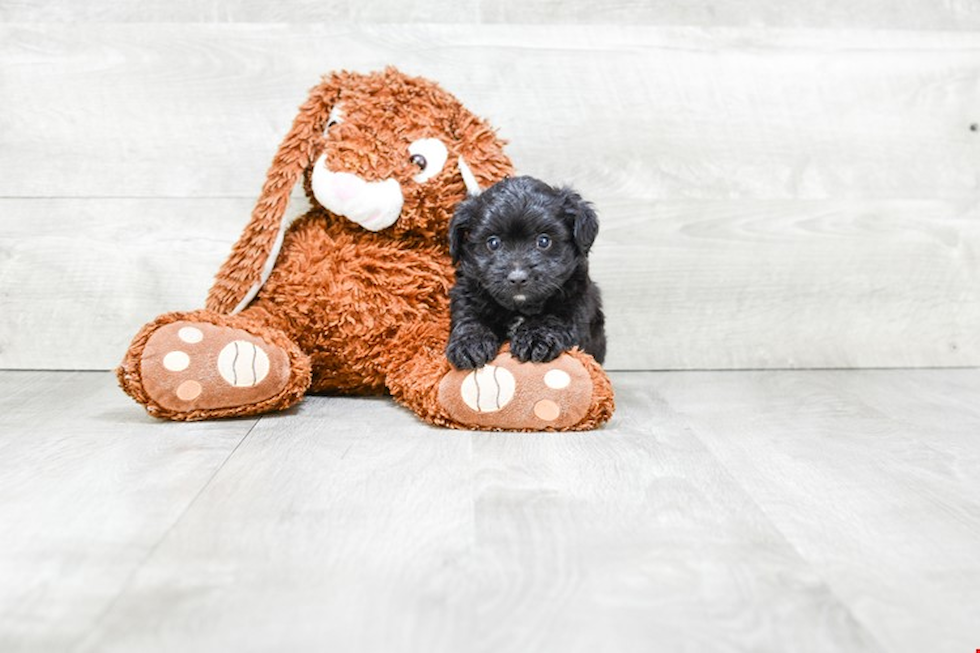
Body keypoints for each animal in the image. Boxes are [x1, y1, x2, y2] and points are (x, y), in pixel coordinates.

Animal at [446, 173, 600, 370]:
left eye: (544, 241)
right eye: (493, 243)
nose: (518, 278)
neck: (520, 308)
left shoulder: (576, 301)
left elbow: (554, 318)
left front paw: (535, 338)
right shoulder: (467, 293)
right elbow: (469, 316)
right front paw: (469, 344)